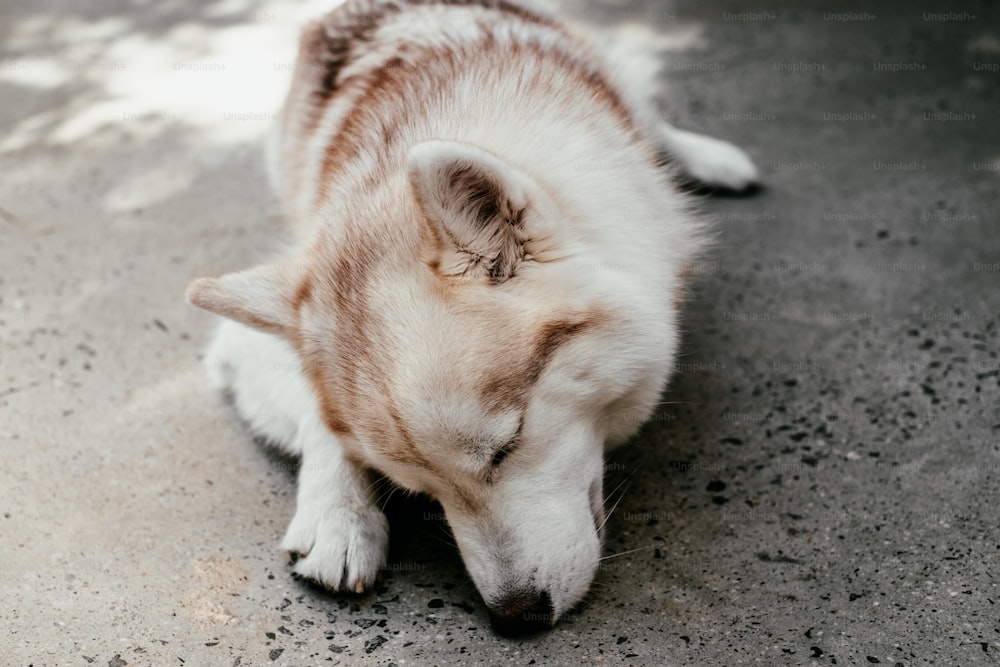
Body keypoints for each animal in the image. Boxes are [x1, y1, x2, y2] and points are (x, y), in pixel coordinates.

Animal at [186, 0, 756, 636]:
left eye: (507, 445)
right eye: (422, 489)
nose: (517, 617)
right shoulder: (239, 345)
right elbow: (322, 422)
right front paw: (339, 513)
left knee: (651, 119)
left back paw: (711, 158)